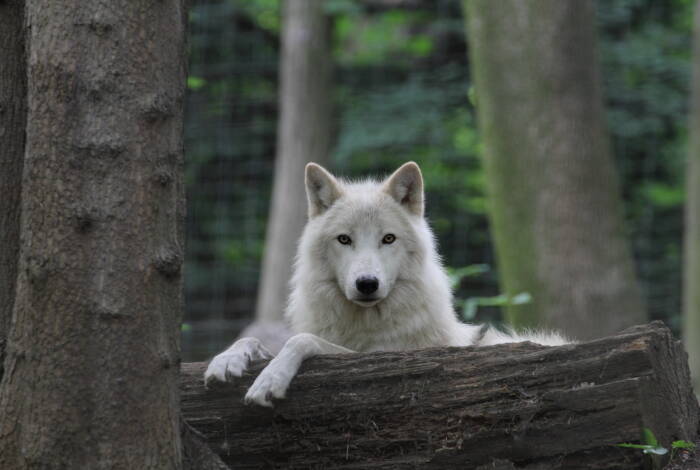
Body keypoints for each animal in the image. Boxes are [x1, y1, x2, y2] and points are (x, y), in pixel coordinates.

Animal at [204, 162, 568, 407]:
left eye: (388, 238)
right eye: (344, 239)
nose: (367, 284)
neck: (364, 323)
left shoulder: (385, 356)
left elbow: (302, 340)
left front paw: (270, 379)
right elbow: (253, 338)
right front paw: (226, 359)